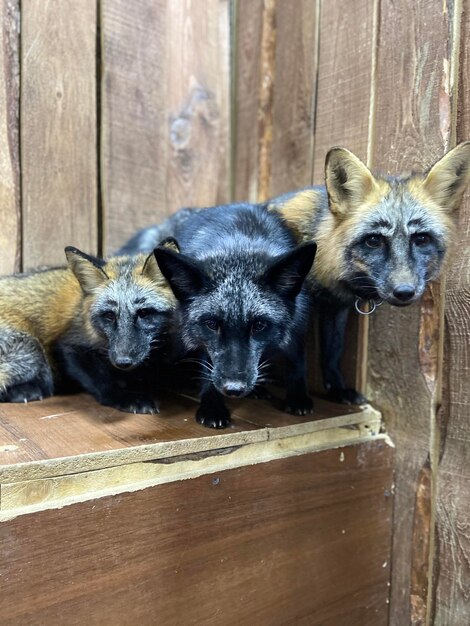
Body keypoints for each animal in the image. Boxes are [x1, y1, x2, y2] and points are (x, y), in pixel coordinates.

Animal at [0, 241, 178, 412]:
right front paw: (123, 397)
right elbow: (101, 381)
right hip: (32, 351)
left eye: (144, 313)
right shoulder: (68, 345)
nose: (123, 362)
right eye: (109, 316)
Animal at [146, 205, 316, 428]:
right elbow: (209, 369)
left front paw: (298, 397)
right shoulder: (204, 340)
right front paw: (212, 406)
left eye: (259, 325)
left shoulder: (299, 322)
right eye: (211, 324)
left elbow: (297, 361)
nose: (233, 389)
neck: (240, 244)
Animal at [266, 141, 470, 402]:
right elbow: (297, 358)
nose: (404, 292)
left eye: (421, 239)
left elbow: (332, 353)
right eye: (374, 241)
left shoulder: (335, 308)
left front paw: (337, 389)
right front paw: (297, 398)